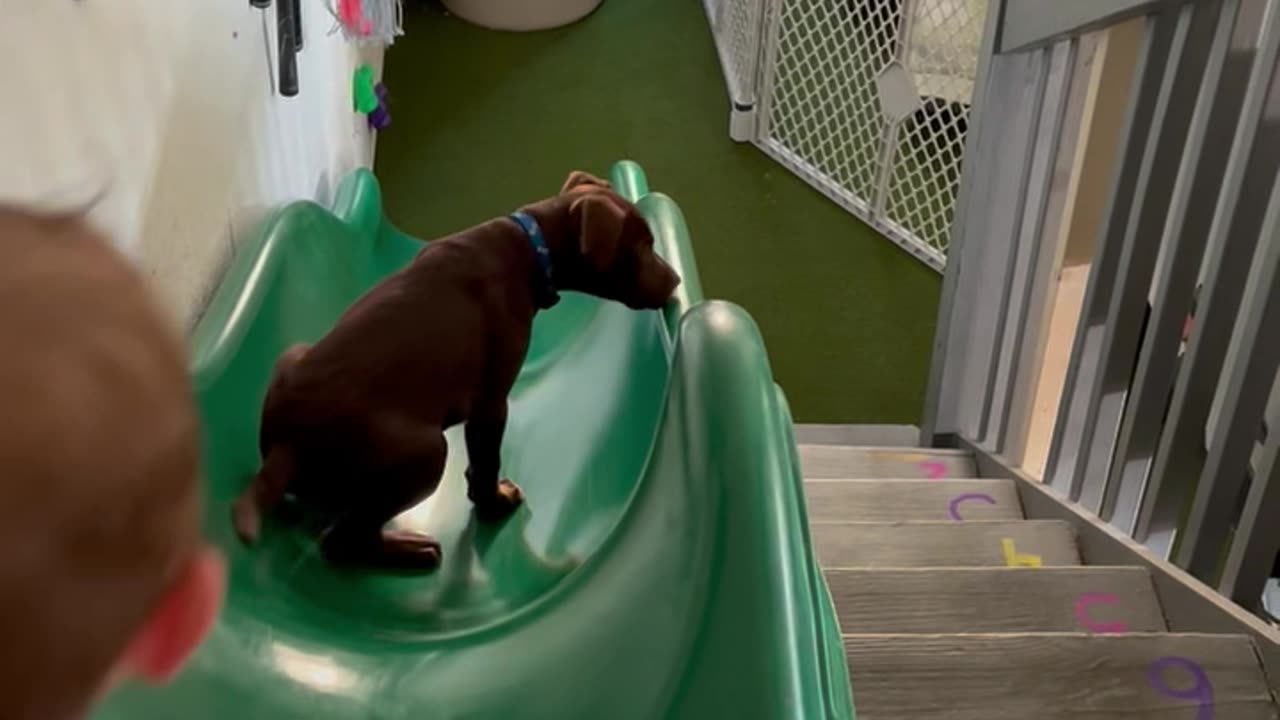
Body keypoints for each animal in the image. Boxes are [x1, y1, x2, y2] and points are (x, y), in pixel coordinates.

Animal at [235, 172, 686, 566]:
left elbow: (478, 462)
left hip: (294, 353)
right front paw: (494, 503)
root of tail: (284, 448)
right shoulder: (492, 401)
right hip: (426, 450)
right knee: (342, 542)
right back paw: (410, 550)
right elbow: (488, 461)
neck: (530, 248)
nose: (677, 281)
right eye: (642, 247)